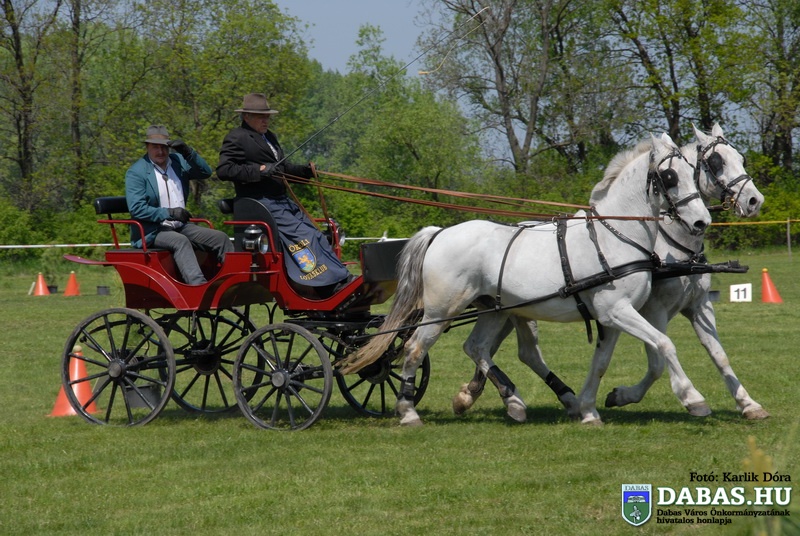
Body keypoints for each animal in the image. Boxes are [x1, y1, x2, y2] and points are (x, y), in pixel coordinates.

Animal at [339, 133, 712, 426]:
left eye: (693, 174)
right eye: (669, 175)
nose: (701, 222)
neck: (614, 236)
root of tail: (439, 233)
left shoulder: (611, 317)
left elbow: (602, 363)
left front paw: (588, 409)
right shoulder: (617, 310)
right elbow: (665, 344)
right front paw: (693, 398)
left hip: (493, 309)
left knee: (476, 347)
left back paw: (514, 401)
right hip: (440, 311)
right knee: (415, 348)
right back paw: (407, 410)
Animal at [452, 123, 769, 423]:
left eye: (740, 158)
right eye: (716, 162)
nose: (755, 201)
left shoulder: (698, 304)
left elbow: (719, 354)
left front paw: (749, 404)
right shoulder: (652, 309)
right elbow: (657, 360)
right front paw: (631, 396)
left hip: (514, 311)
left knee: (508, 350)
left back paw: (487, 396)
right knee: (499, 348)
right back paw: (486, 396)